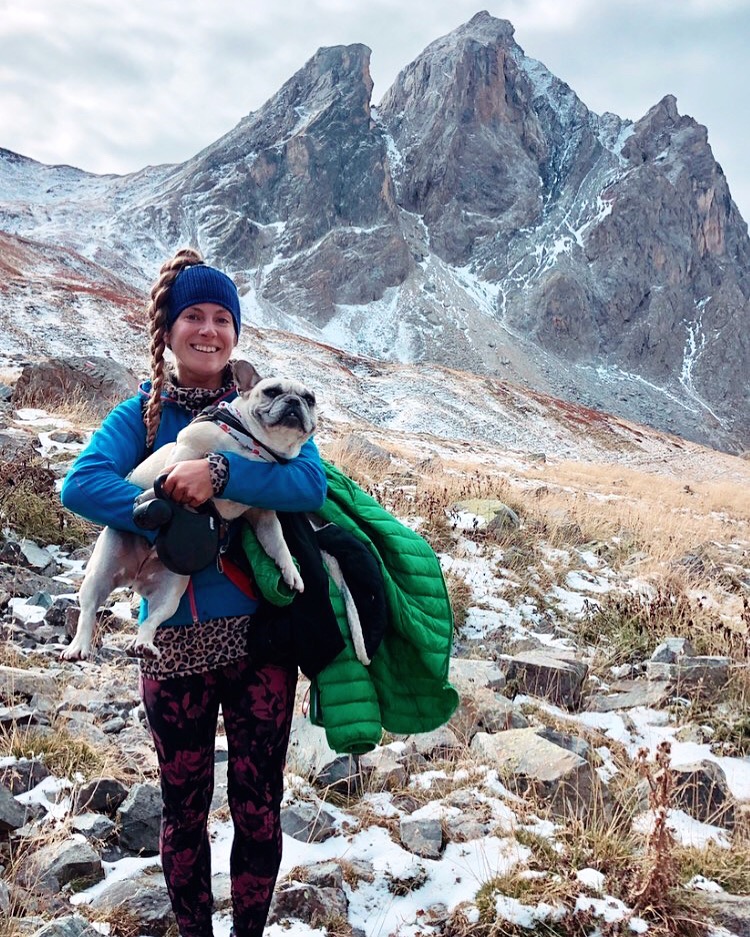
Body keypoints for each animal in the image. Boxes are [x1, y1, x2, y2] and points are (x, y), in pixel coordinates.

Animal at [61, 359, 317, 661]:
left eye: (310, 399)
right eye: (272, 391)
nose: (294, 401)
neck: (255, 448)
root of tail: (135, 577)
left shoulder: (264, 516)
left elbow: (277, 543)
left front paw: (291, 572)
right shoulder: (188, 447)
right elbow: (170, 474)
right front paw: (150, 495)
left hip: (171, 594)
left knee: (151, 620)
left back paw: (144, 645)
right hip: (98, 576)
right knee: (88, 611)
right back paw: (78, 647)